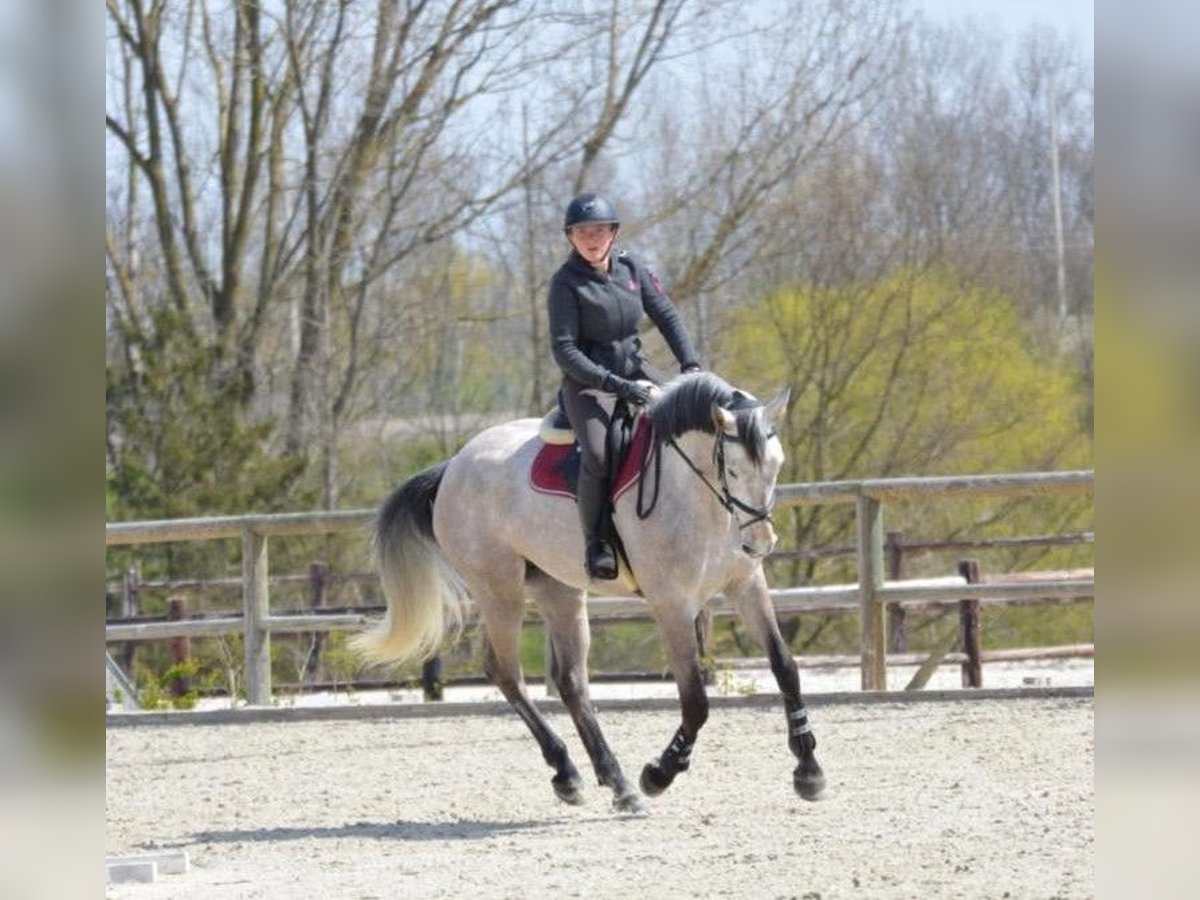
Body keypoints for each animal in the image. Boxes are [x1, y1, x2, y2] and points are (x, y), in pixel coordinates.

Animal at [353, 372, 825, 813]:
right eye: (733, 470)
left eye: (777, 465)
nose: (760, 544)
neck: (697, 495)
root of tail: (453, 466)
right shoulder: (672, 605)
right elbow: (695, 700)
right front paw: (660, 772)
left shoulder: (745, 585)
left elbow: (785, 666)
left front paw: (809, 771)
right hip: (499, 590)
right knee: (506, 672)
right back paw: (570, 772)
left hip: (558, 591)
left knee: (571, 682)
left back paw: (615, 783)